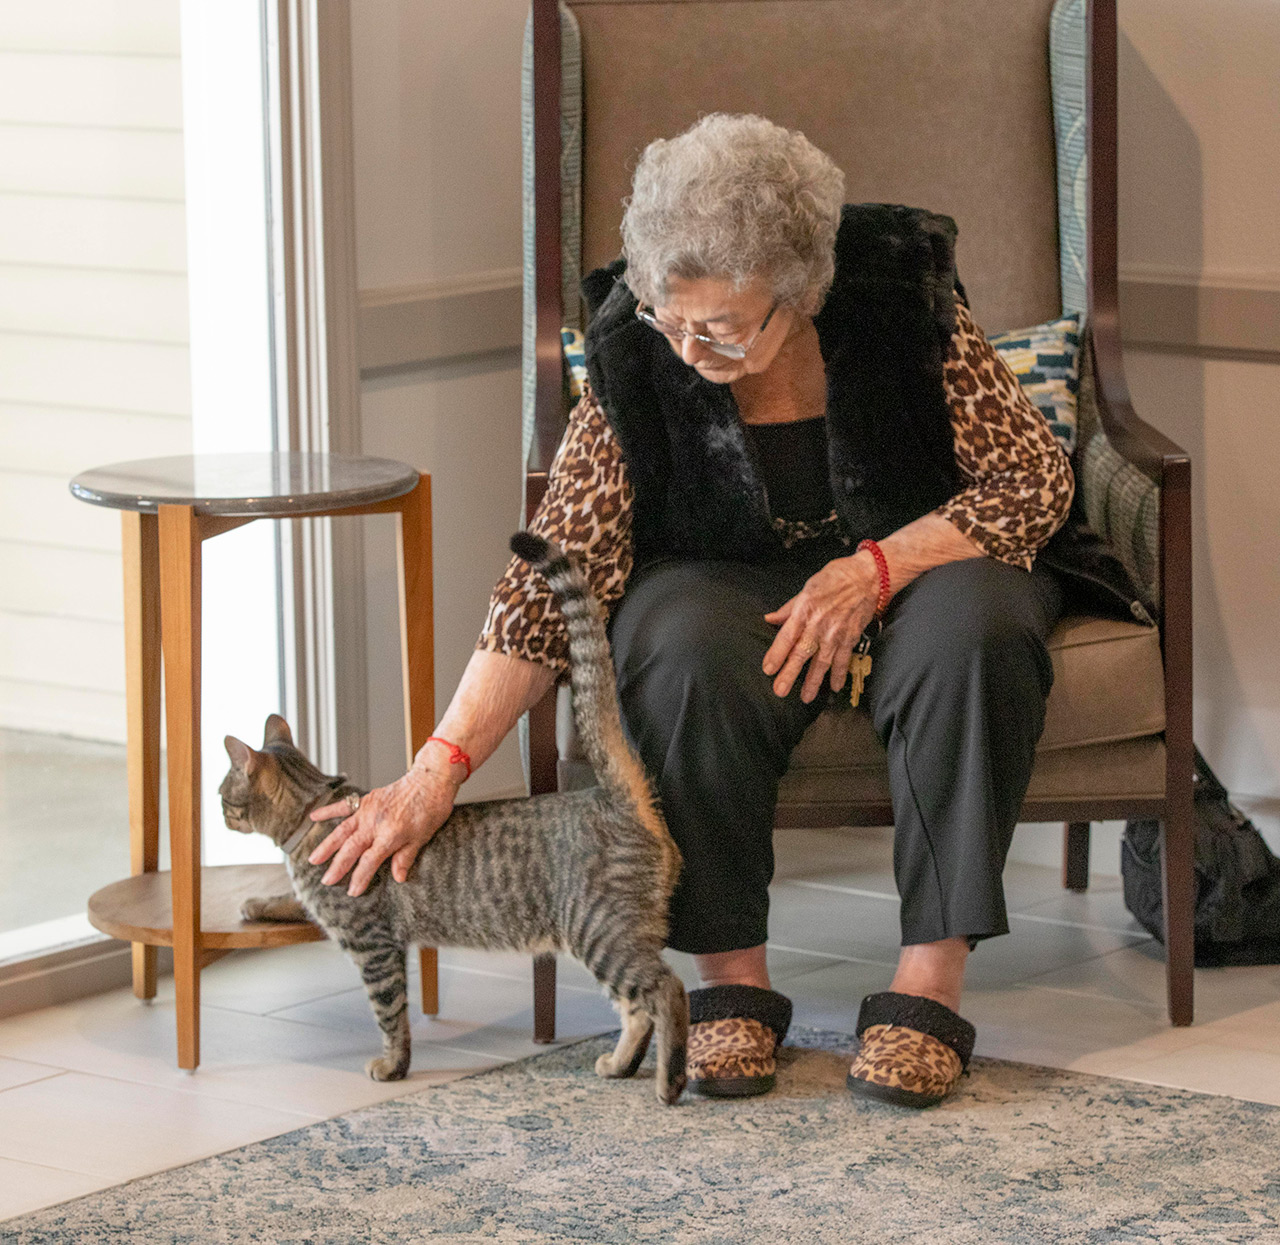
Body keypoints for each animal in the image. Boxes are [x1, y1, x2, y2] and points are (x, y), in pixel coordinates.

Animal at [217, 529, 691, 1100]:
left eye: (222, 792)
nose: (217, 810)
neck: (315, 809)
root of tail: (616, 796)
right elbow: (288, 901)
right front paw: (259, 903)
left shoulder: (374, 947)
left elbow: (390, 1016)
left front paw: (391, 1067)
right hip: (613, 936)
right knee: (636, 1009)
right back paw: (620, 1065)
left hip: (601, 931)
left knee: (668, 992)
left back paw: (669, 1083)